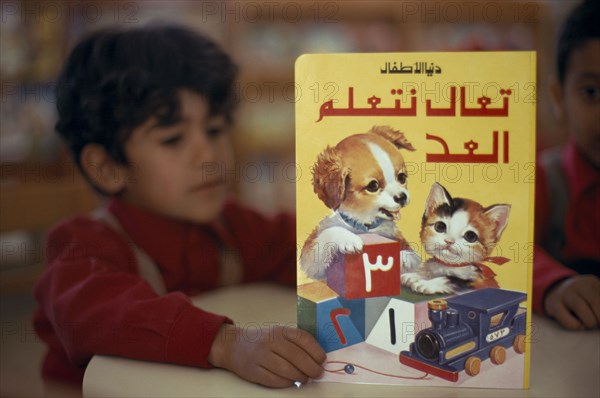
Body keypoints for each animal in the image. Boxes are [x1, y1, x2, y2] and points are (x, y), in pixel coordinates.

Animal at [300, 125, 422, 280]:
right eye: (373, 186)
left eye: (402, 177)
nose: (402, 197)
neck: (365, 226)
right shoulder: (310, 261)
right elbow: (326, 235)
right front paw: (348, 238)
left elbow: (413, 258)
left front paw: (400, 259)